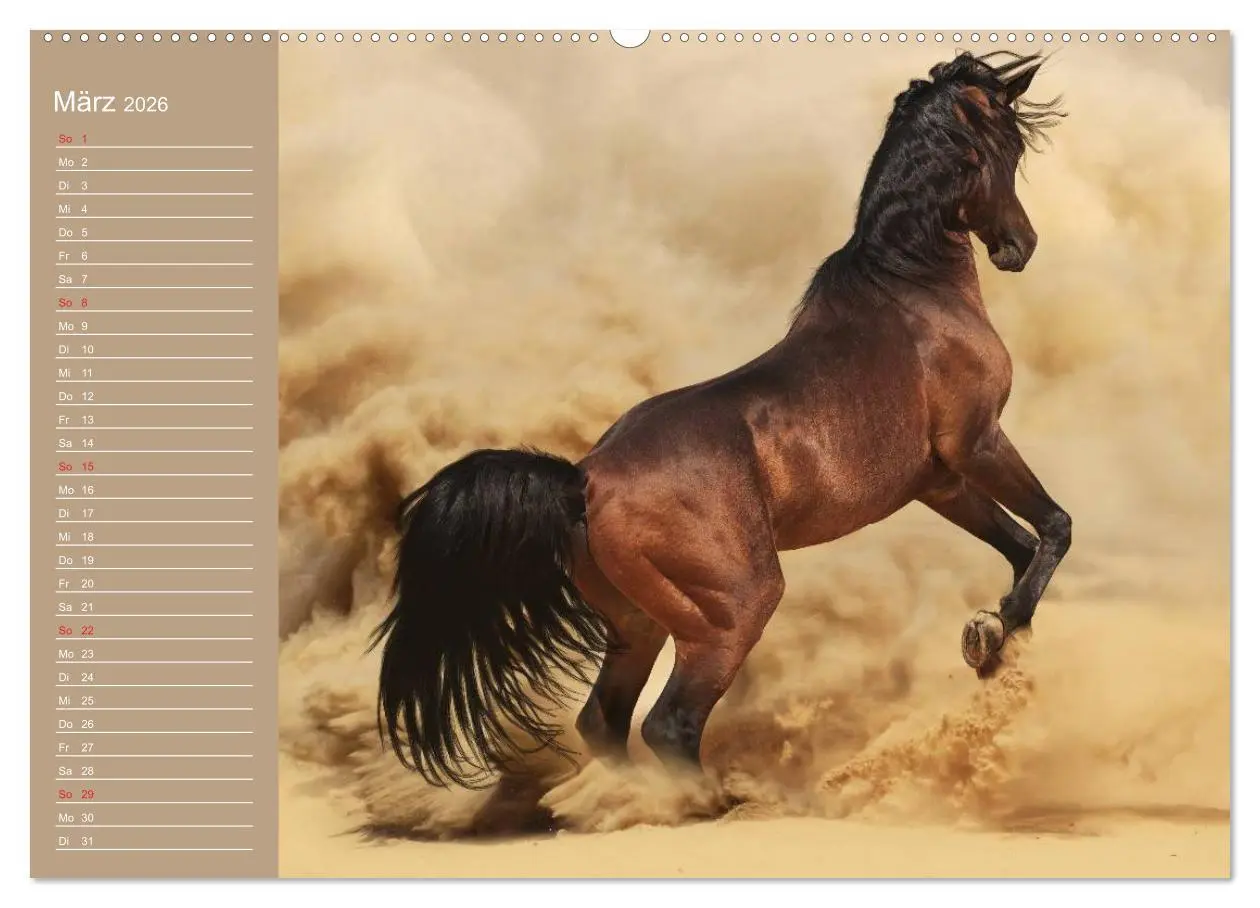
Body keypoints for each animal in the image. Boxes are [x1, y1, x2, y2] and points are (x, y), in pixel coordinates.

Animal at [371, 51, 1071, 791]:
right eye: (1009, 146)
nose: (1019, 246)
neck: (913, 290)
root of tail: (583, 480)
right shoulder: (977, 443)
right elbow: (1054, 529)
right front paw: (996, 631)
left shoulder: (939, 482)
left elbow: (1019, 548)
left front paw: (994, 641)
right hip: (734, 608)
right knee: (668, 723)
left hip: (640, 621)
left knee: (605, 722)